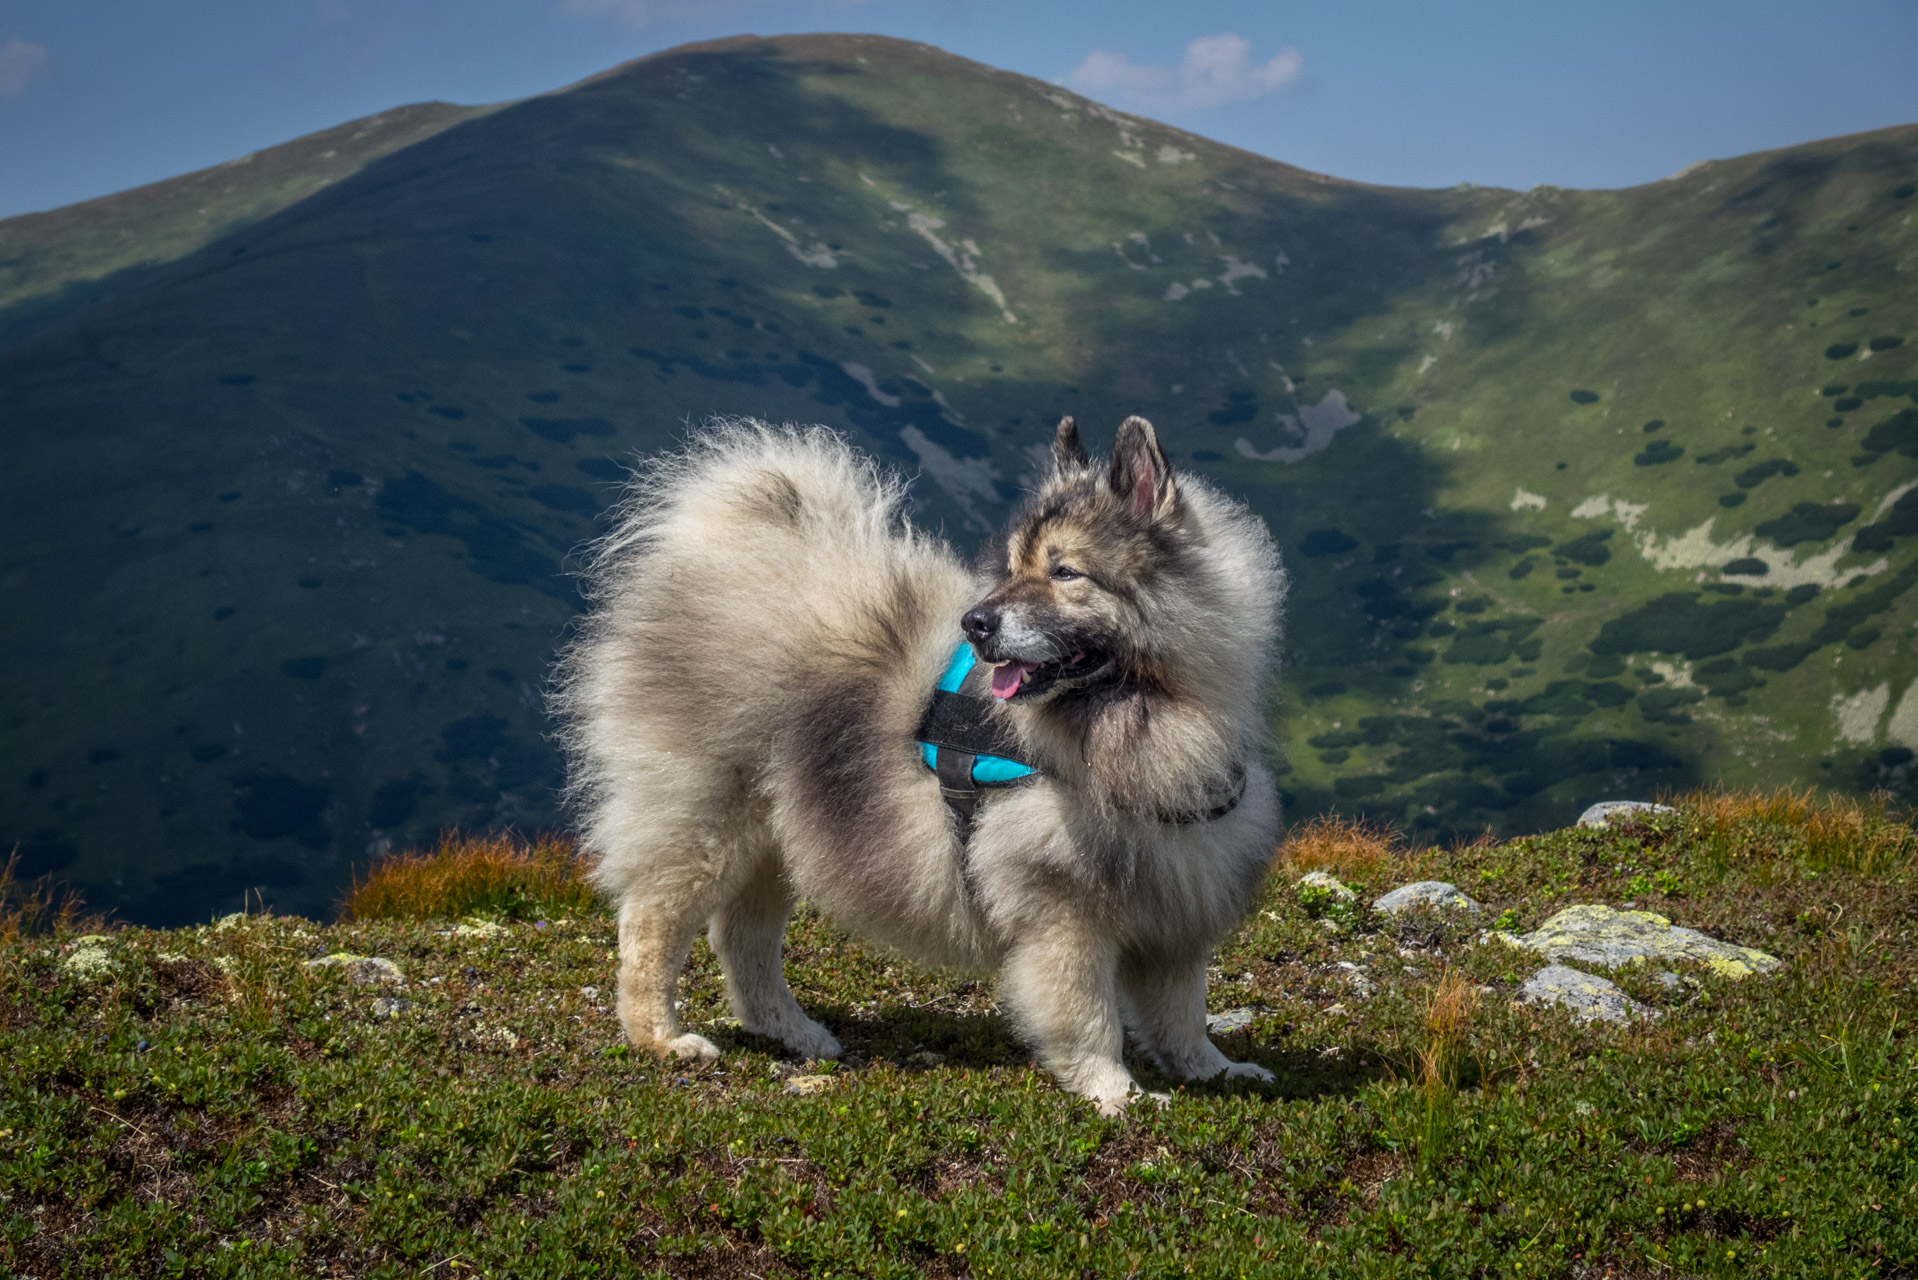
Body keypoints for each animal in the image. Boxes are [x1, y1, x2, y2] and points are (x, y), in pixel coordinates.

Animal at [560, 418, 1296, 1113]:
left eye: (1064, 573)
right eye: (1013, 568)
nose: (976, 622)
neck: (1150, 715)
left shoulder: (1178, 901)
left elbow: (1183, 1015)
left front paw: (1215, 1071)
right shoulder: (1065, 913)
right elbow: (1090, 1018)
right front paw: (1115, 1093)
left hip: (778, 838)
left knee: (744, 941)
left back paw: (793, 1032)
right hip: (708, 824)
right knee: (651, 924)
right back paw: (661, 1037)